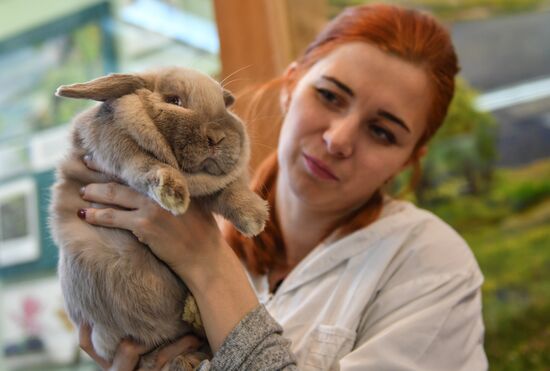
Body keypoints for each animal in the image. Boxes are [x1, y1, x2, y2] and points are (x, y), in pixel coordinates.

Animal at [49, 65, 270, 370]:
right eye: (174, 100)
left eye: (224, 106)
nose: (216, 137)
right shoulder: (114, 145)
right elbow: (143, 163)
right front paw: (173, 194)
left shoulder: (215, 189)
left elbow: (229, 191)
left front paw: (254, 218)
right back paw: (184, 356)